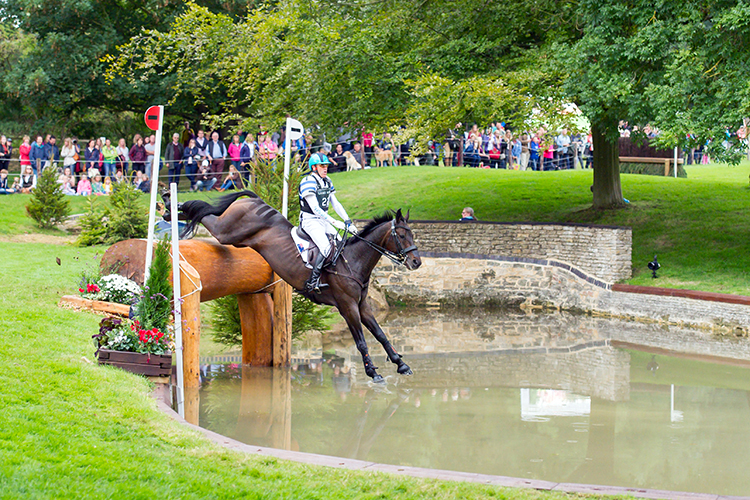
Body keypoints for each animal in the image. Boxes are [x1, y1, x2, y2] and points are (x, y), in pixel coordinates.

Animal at [177, 191, 424, 382]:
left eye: (412, 234)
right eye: (402, 235)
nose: (416, 262)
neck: (353, 261)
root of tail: (254, 200)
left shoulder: (362, 306)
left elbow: (381, 334)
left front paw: (401, 364)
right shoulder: (347, 307)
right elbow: (362, 342)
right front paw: (373, 372)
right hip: (227, 231)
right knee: (206, 215)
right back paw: (177, 206)